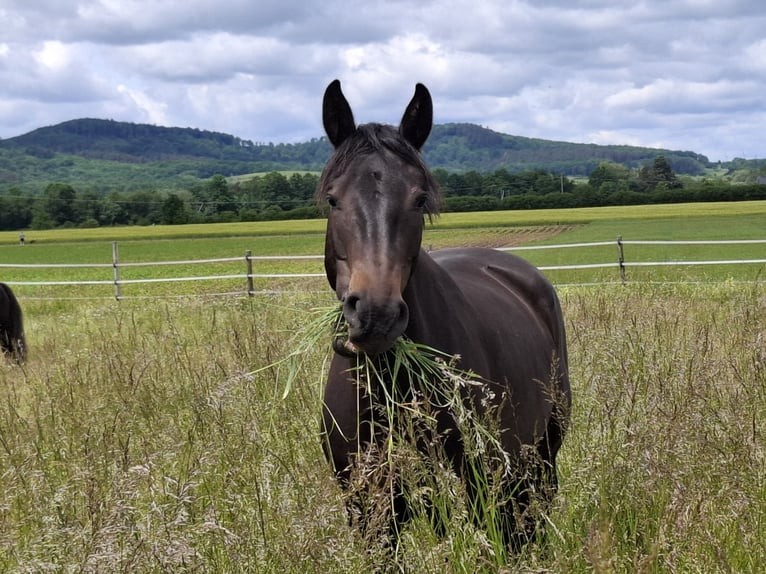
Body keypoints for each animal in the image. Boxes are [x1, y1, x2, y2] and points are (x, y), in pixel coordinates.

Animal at [318, 80, 570, 555]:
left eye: (419, 199)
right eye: (332, 199)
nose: (376, 315)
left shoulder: (484, 491)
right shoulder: (366, 505)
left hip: (541, 455)